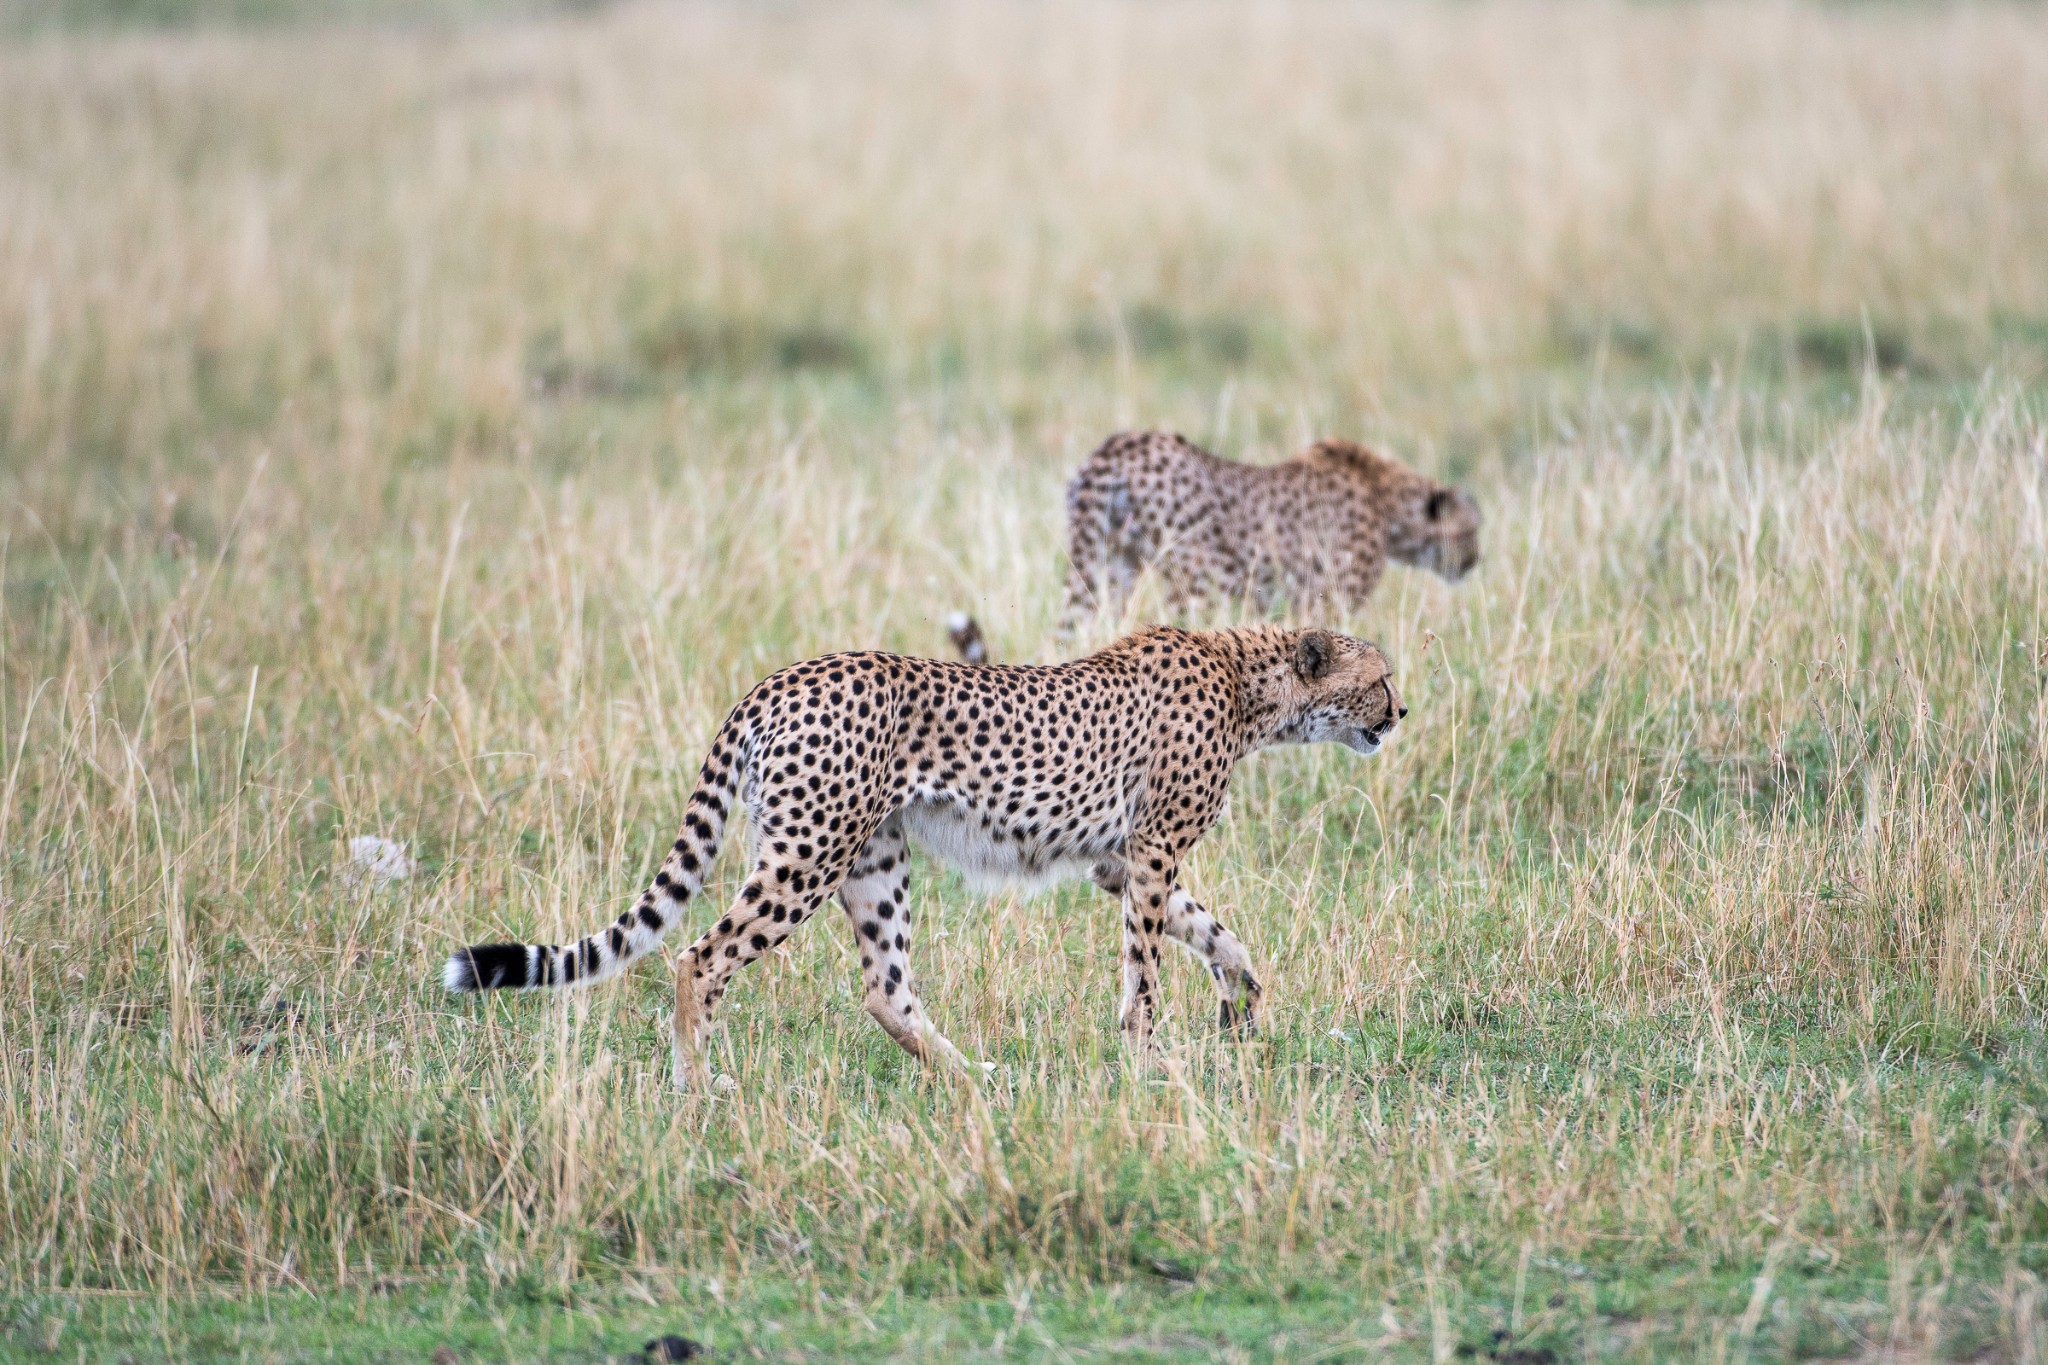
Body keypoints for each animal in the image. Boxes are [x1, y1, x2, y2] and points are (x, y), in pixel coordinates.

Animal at [444, 626, 1409, 1080]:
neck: (1251, 681)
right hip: (808, 853)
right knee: (698, 957)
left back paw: (971, 1077)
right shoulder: (1151, 850)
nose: (1401, 713)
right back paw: (700, 1088)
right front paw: (1149, 1061)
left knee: (885, 988)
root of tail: (777, 678)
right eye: (1381, 678)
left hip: (873, 861)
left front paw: (1240, 995)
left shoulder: (1118, 859)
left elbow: (1212, 931)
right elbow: (1145, 969)